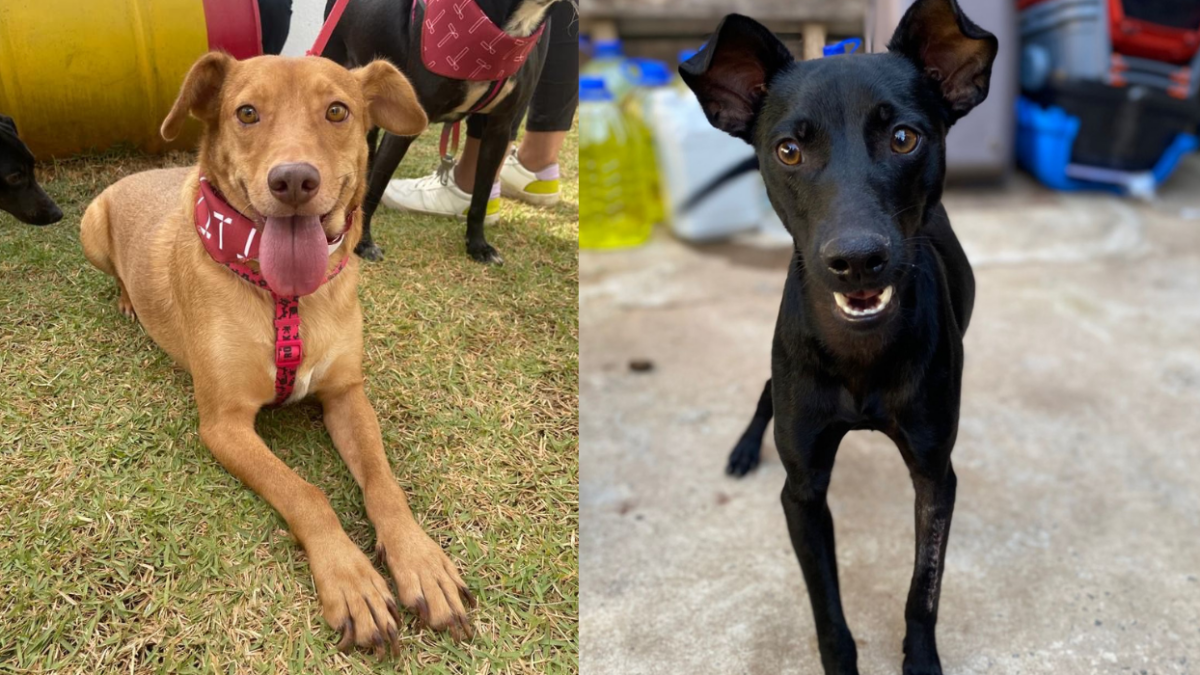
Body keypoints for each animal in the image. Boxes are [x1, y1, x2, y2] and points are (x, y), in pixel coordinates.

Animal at [77, 53, 472, 653]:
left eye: (338, 110)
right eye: (246, 112)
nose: (293, 180)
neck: (285, 300)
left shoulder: (346, 394)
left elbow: (384, 484)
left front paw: (421, 561)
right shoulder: (224, 425)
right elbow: (305, 493)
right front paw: (351, 579)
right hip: (89, 227)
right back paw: (127, 300)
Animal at [321, 0, 559, 263]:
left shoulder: (499, 129)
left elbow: (482, 194)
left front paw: (478, 245)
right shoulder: (405, 127)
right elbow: (376, 187)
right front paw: (364, 243)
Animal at [681, 0, 998, 667]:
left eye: (904, 138)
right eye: (788, 150)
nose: (856, 260)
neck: (862, 356)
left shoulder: (936, 477)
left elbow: (923, 588)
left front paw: (920, 658)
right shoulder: (801, 492)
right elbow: (826, 604)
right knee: (763, 396)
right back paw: (744, 449)